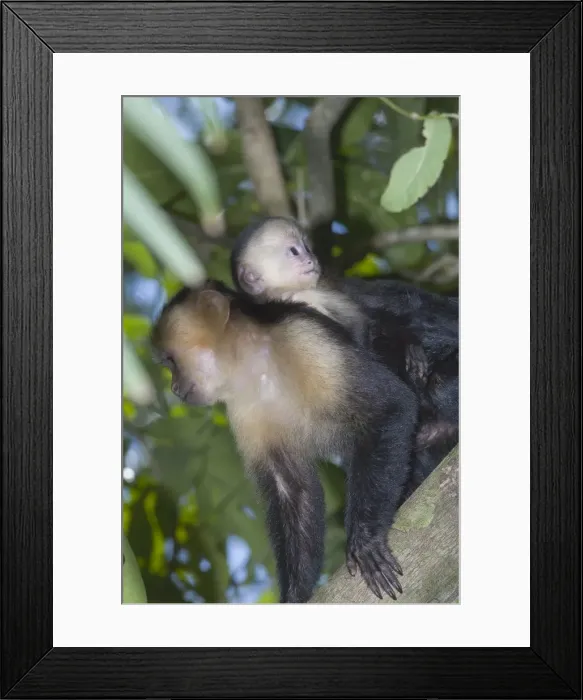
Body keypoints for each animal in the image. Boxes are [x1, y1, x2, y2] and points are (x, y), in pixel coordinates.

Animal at [151, 281, 421, 603]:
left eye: (171, 362)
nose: (174, 388)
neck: (253, 362)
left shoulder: (304, 340)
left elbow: (390, 409)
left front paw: (365, 540)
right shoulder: (244, 406)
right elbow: (292, 489)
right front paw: (294, 595)